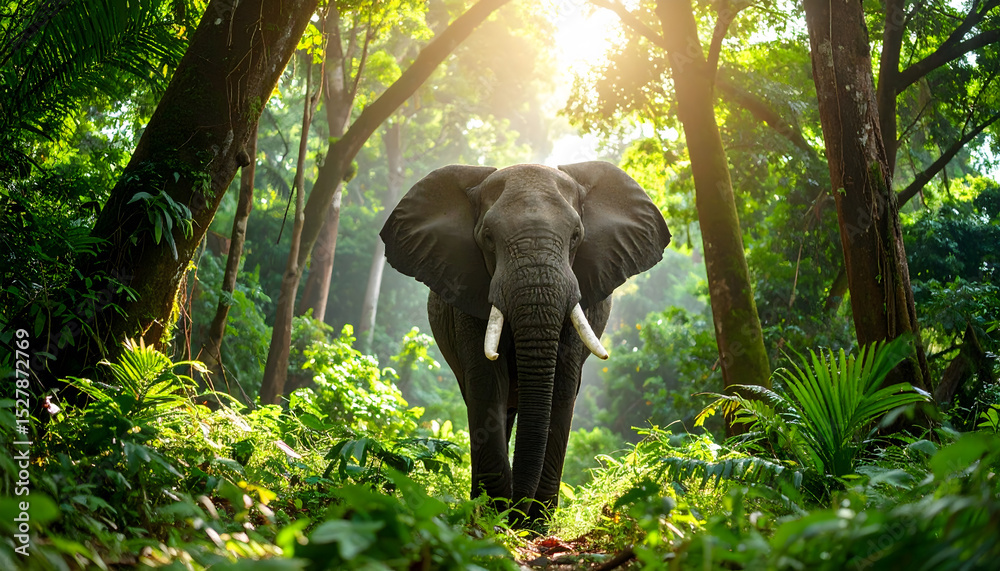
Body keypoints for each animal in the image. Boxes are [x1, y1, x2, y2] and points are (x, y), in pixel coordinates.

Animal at [380, 161, 671, 525]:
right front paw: (494, 517)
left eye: (576, 236)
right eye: (488, 238)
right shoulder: (470, 291)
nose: (517, 512)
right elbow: (487, 382)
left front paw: (534, 525)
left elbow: (562, 387)